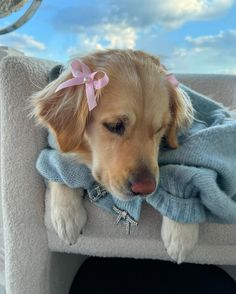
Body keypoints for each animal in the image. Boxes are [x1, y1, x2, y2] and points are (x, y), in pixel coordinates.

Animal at [31, 49, 199, 262]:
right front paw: (66, 216)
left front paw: (181, 234)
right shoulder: (56, 146)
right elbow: (57, 169)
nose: (145, 189)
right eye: (115, 125)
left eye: (160, 128)